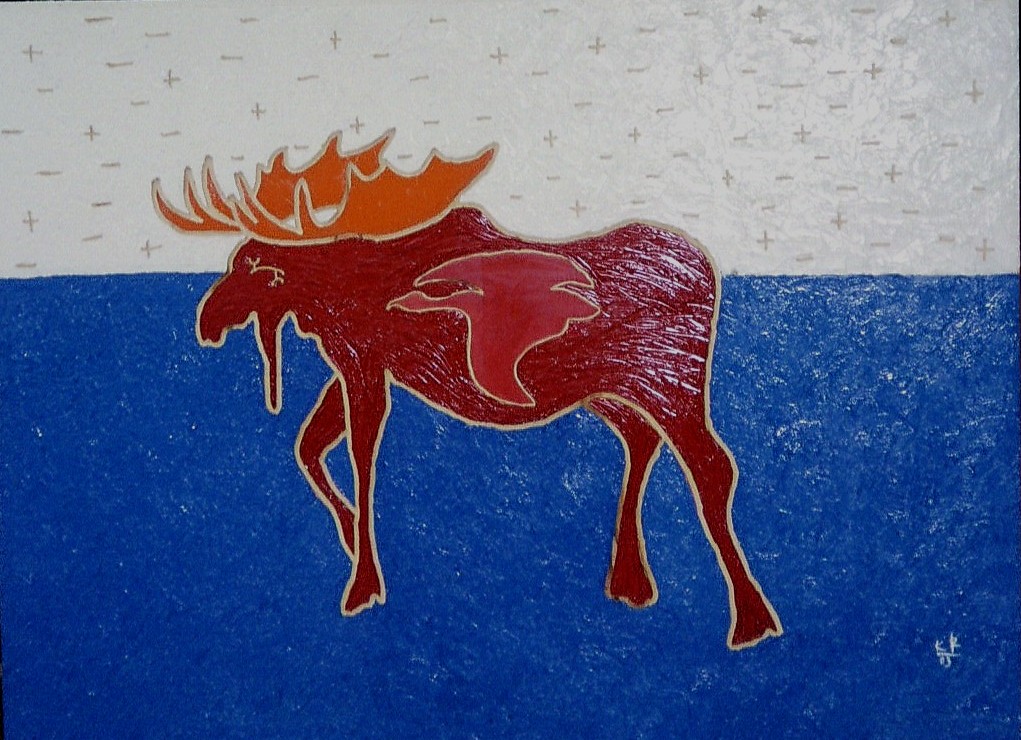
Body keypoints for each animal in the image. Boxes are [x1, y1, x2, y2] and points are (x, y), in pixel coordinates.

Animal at [152, 129, 782, 649]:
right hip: (607, 389)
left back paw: (752, 619)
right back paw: (631, 579)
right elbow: (310, 448)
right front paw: (353, 541)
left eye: (258, 269)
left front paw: (363, 582)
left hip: (670, 380)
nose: (206, 321)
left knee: (712, 467)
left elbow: (359, 457)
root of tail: (707, 270)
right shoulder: (359, 366)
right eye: (234, 261)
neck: (343, 288)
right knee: (640, 441)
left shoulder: (363, 363)